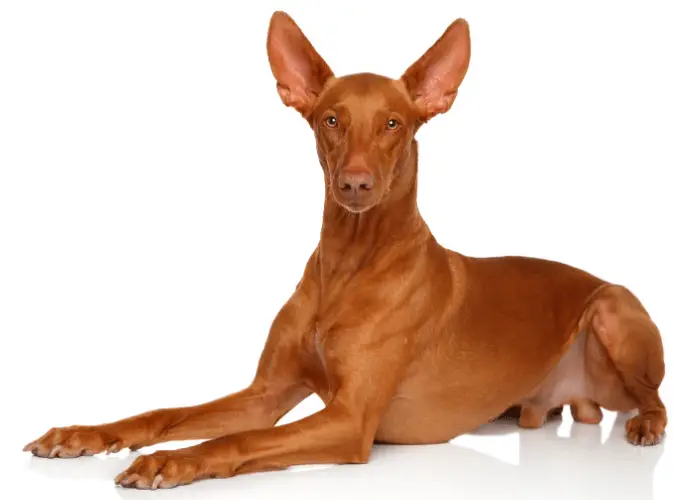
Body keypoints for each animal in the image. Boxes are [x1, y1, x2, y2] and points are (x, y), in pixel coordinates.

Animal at [23, 10, 668, 488]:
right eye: (331, 119)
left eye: (393, 124)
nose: (355, 184)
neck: (349, 264)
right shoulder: (265, 393)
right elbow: (168, 415)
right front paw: (83, 436)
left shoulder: (352, 419)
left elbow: (240, 438)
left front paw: (172, 461)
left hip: (612, 312)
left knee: (653, 397)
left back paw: (646, 426)